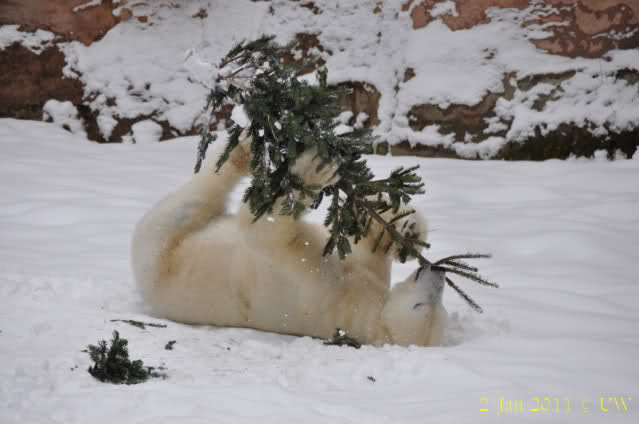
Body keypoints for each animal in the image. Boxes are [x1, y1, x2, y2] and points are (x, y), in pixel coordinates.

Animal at [131, 133, 447, 346]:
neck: (368, 308)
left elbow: (263, 231)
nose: (438, 270)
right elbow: (362, 250)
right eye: (431, 305)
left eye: (423, 307)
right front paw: (406, 230)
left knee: (188, 204)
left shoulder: (324, 291)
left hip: (159, 257)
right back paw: (246, 144)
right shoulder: (365, 277)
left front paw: (314, 171)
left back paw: (238, 155)